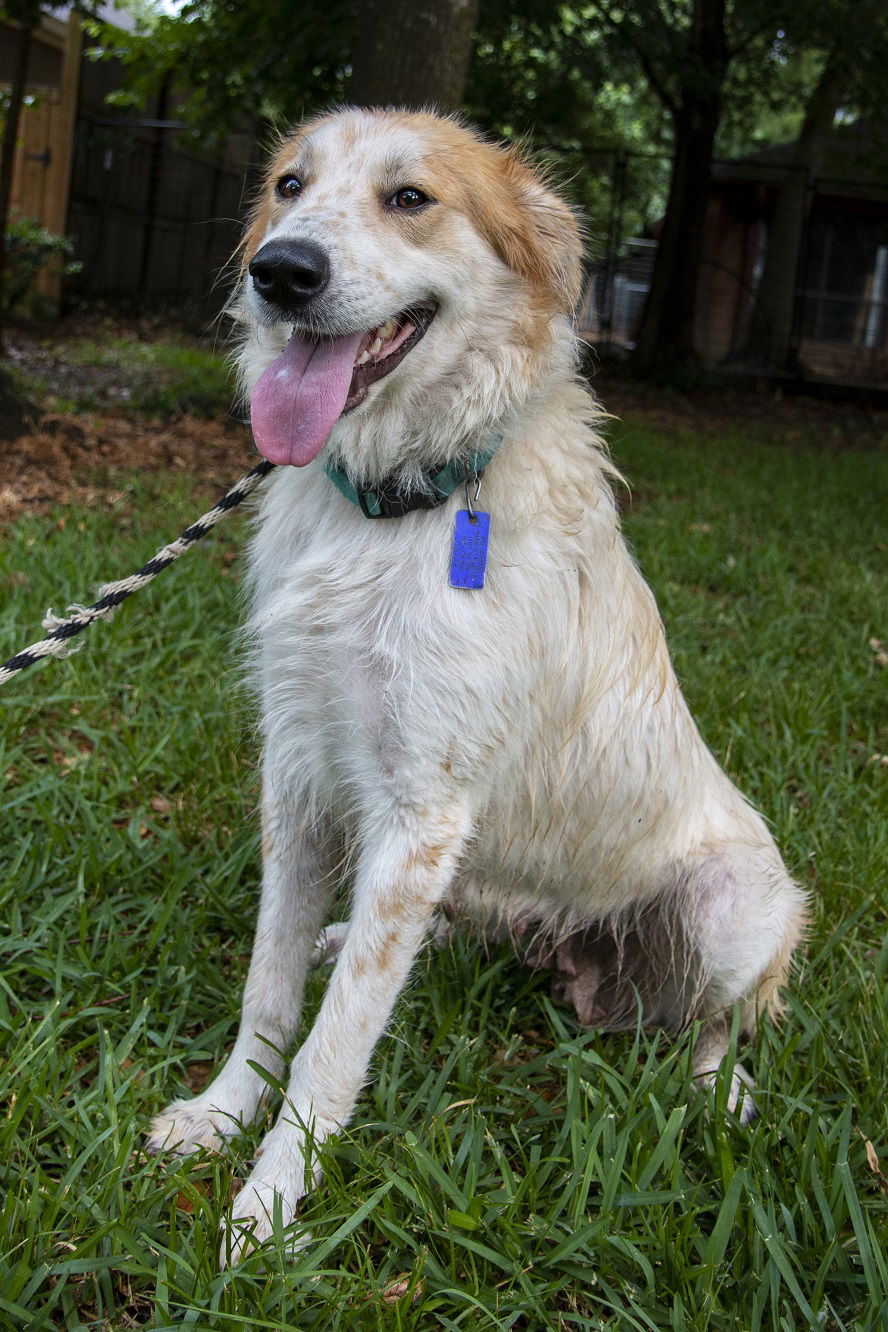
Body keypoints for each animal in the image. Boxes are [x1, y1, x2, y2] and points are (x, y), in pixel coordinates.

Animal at [145, 106, 804, 1257]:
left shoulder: (422, 812)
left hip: (739, 909)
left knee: (718, 1023)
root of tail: (574, 962)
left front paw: (269, 1208)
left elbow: (333, 1045)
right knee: (436, 935)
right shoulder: (300, 776)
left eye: (411, 198)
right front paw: (223, 1114)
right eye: (288, 185)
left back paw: (721, 1095)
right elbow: (272, 993)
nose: (282, 272)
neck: (395, 507)